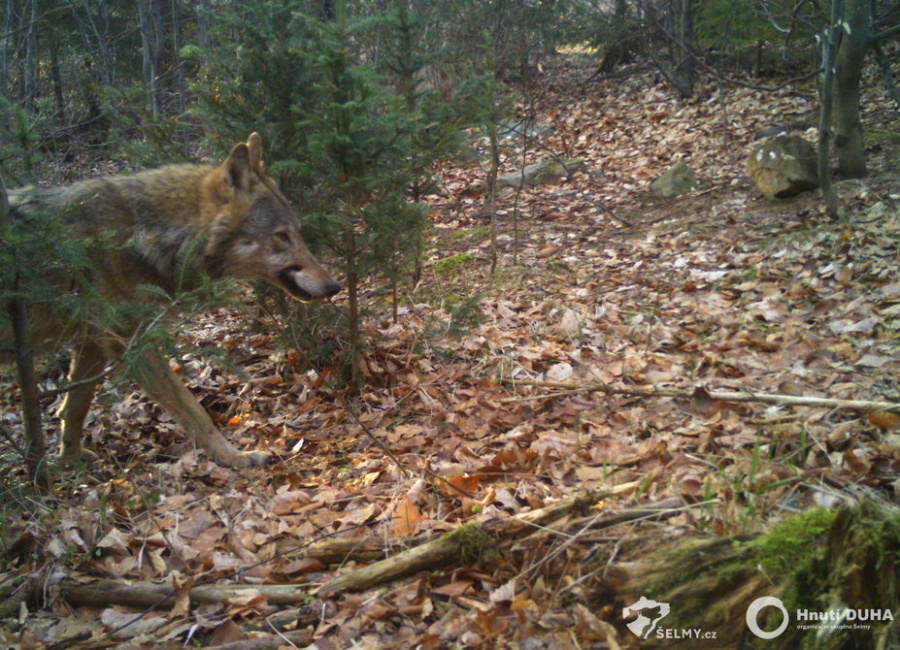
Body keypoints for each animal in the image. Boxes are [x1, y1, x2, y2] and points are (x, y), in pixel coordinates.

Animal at [4, 133, 342, 466]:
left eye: (297, 231)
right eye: (282, 235)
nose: (334, 286)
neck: (148, 235)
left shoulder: (91, 343)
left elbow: (75, 407)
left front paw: (70, 461)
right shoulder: (134, 345)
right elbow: (195, 412)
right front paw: (235, 458)